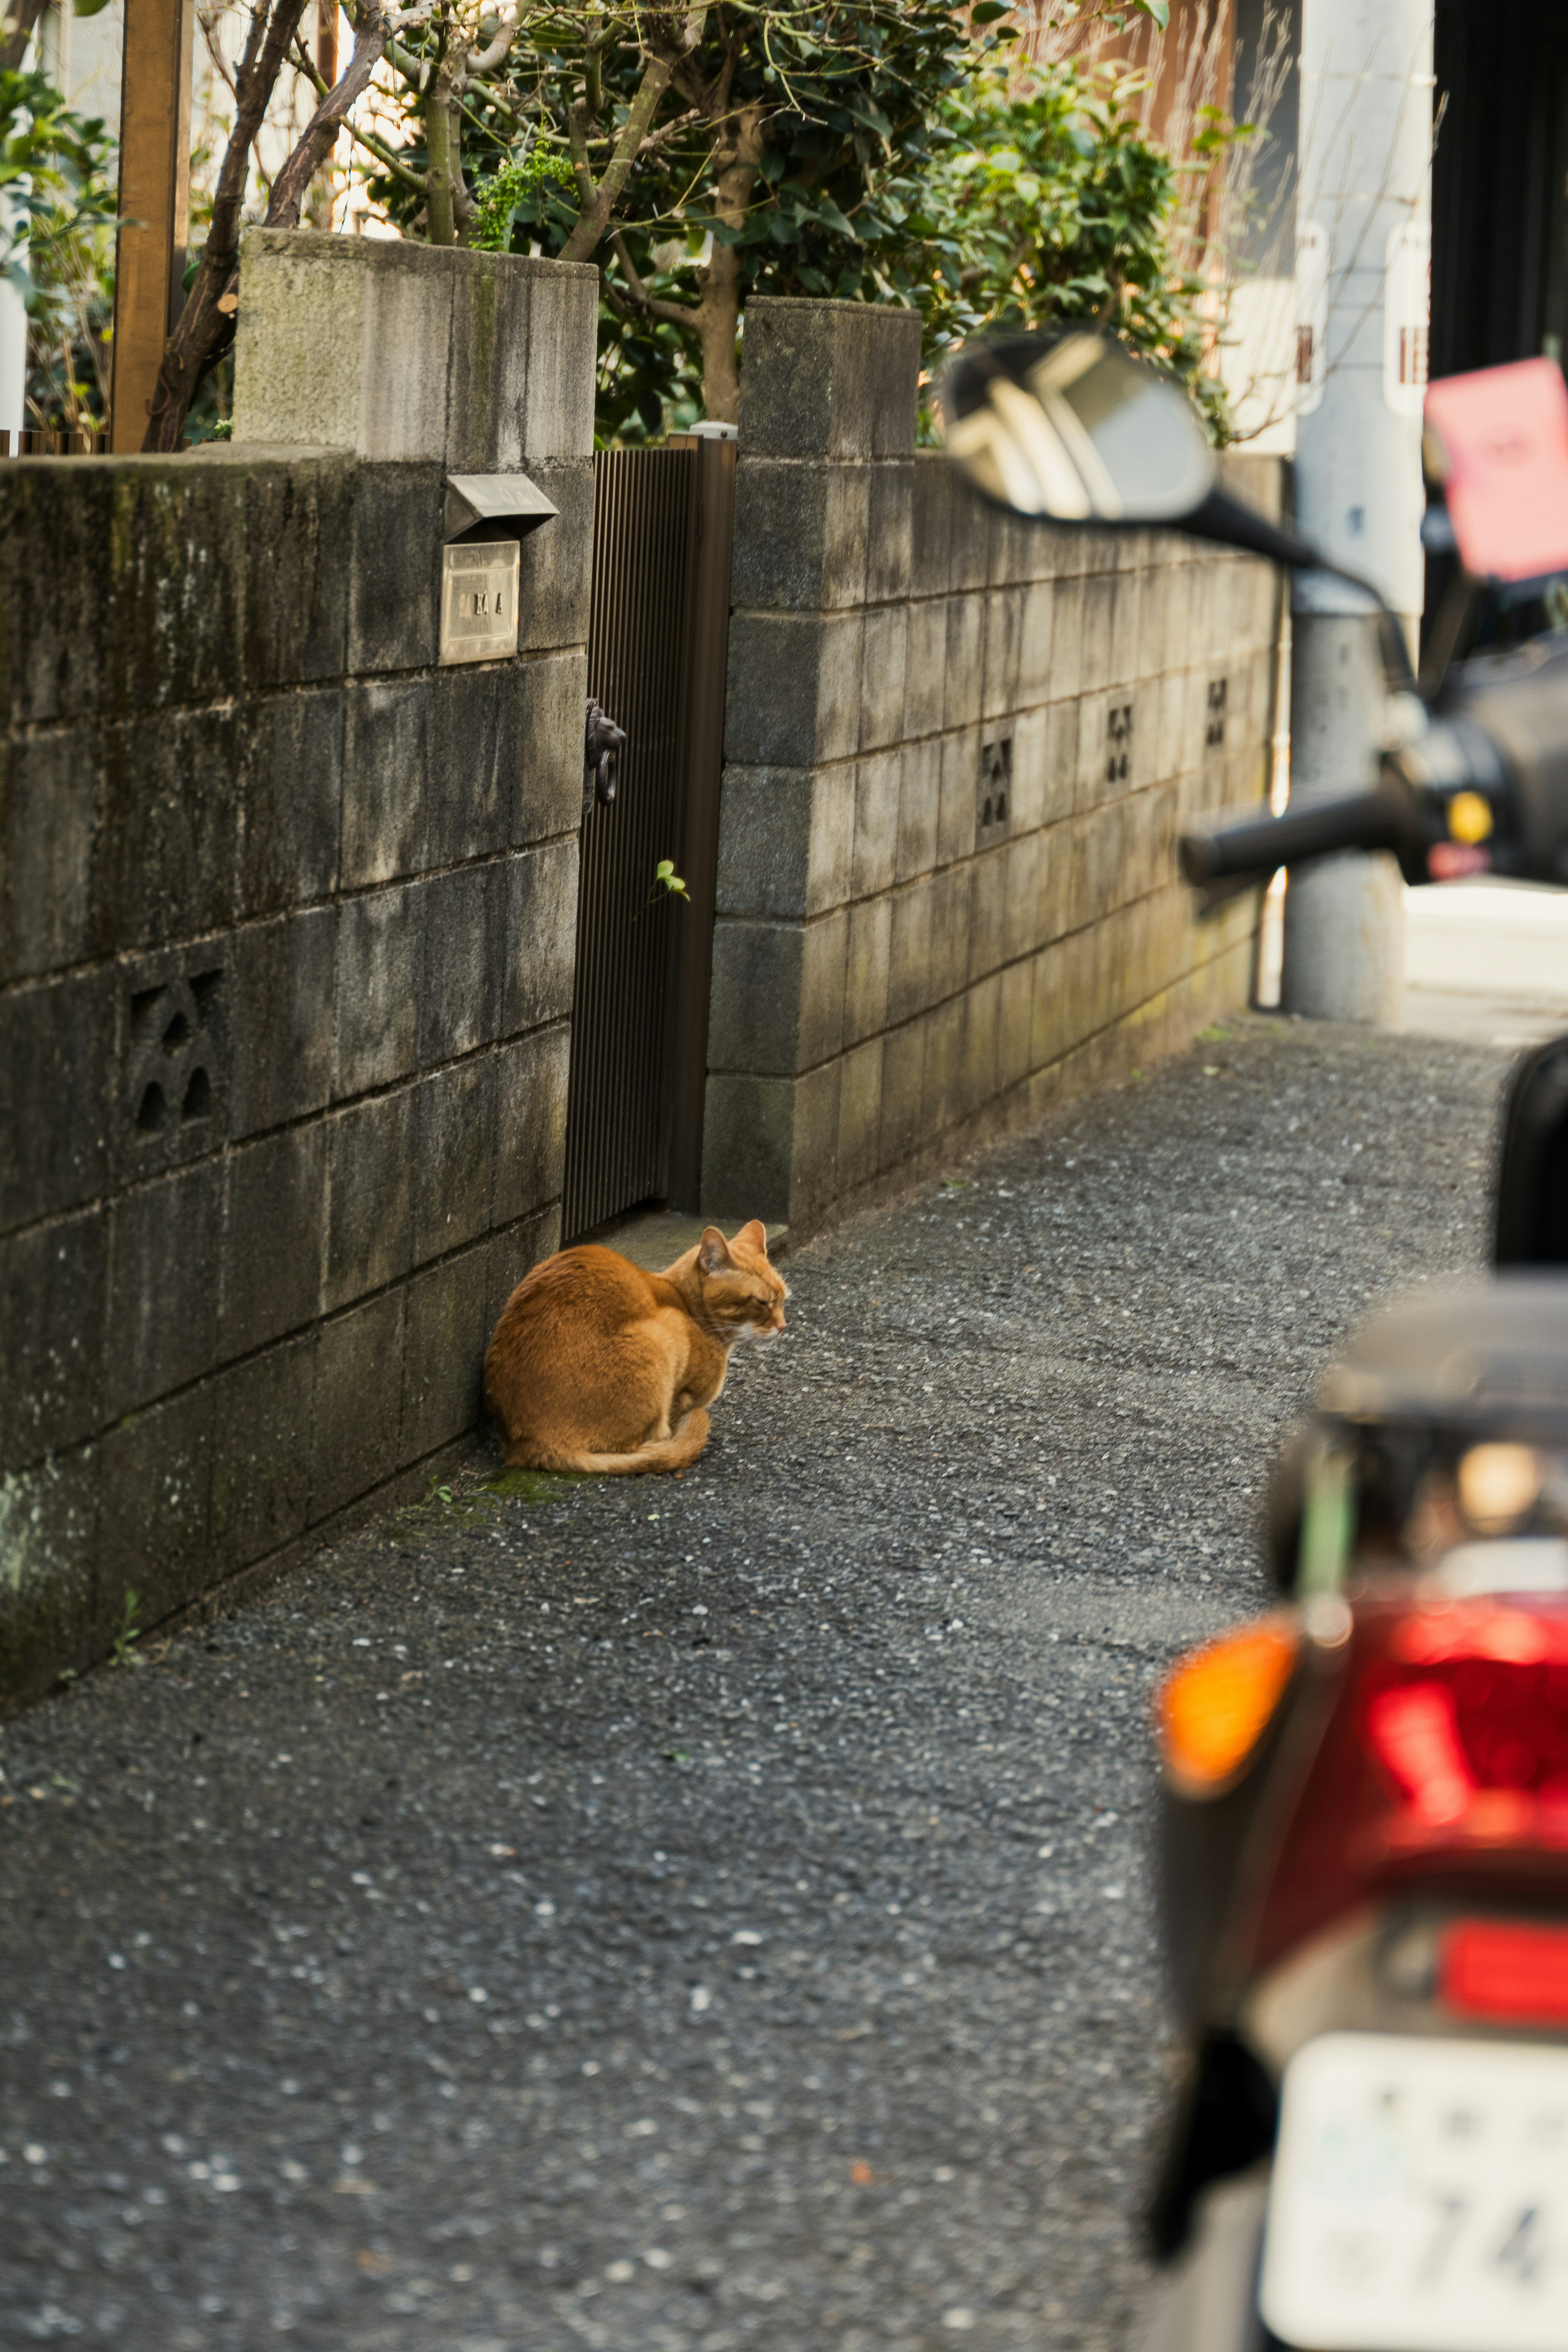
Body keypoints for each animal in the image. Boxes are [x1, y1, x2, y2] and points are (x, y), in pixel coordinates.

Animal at [484, 1232, 790, 1468]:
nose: (783, 1326)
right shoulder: (681, 1393)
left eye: (783, 1300)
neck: (688, 1306)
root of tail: (536, 1444)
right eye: (762, 1302)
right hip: (667, 1330)